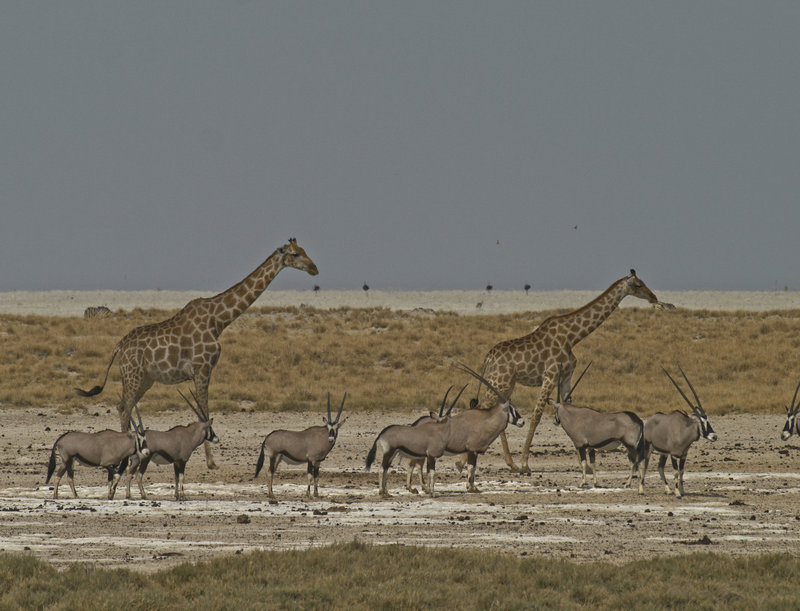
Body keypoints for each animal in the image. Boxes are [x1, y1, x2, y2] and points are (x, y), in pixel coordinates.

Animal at [76, 238, 318, 469]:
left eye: (305, 250)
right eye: (295, 254)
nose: (314, 268)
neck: (218, 320)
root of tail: (119, 346)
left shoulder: (201, 371)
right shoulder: (202, 369)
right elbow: (204, 413)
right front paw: (211, 463)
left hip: (145, 379)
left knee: (122, 406)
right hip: (132, 375)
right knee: (124, 408)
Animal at [473, 269, 671, 473]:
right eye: (638, 285)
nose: (653, 297)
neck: (571, 337)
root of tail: (488, 357)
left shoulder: (566, 378)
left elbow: (570, 411)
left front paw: (584, 463)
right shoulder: (550, 375)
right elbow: (536, 416)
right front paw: (526, 463)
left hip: (506, 383)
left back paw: (510, 463)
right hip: (499, 380)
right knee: (482, 408)